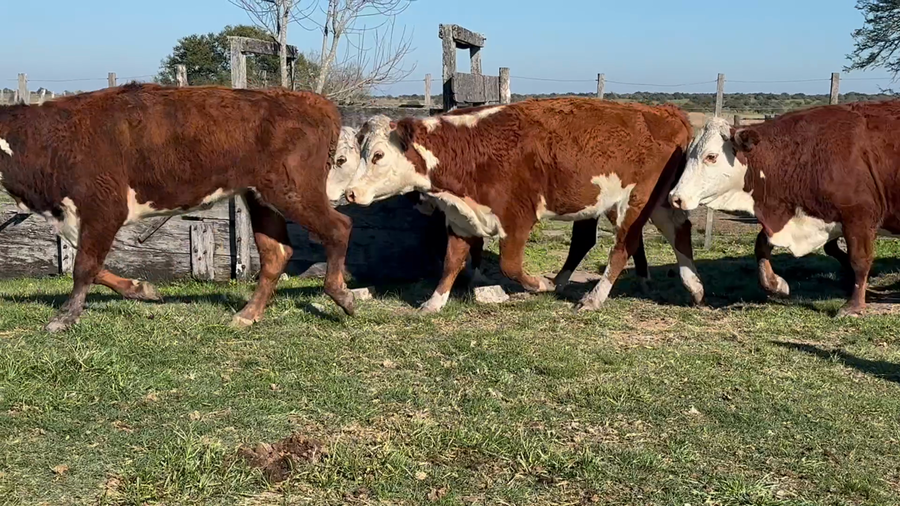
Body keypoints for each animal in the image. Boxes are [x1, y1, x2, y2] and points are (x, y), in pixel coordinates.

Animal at [0, 82, 355, 332]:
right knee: (276, 254)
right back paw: (247, 315)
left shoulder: (103, 208)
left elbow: (84, 266)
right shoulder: (77, 217)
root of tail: (310, 101)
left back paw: (342, 294)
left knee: (339, 227)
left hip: (293, 191)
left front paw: (65, 317)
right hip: (261, 198)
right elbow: (94, 265)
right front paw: (141, 289)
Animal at [344, 98, 704, 313]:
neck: (470, 148)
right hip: (655, 202)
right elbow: (451, 263)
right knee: (679, 230)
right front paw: (434, 302)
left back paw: (592, 297)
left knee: (622, 248)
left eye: (378, 155)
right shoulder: (461, 219)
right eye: (362, 153)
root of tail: (665, 111)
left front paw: (539, 285)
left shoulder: (516, 219)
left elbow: (510, 266)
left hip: (634, 201)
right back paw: (693, 286)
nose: (350, 193)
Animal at [668, 101, 900, 316]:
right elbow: (762, 246)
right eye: (688, 155)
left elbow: (859, 261)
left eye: (711, 156)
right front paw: (776, 284)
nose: (675, 197)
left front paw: (854, 305)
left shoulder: (859, 219)